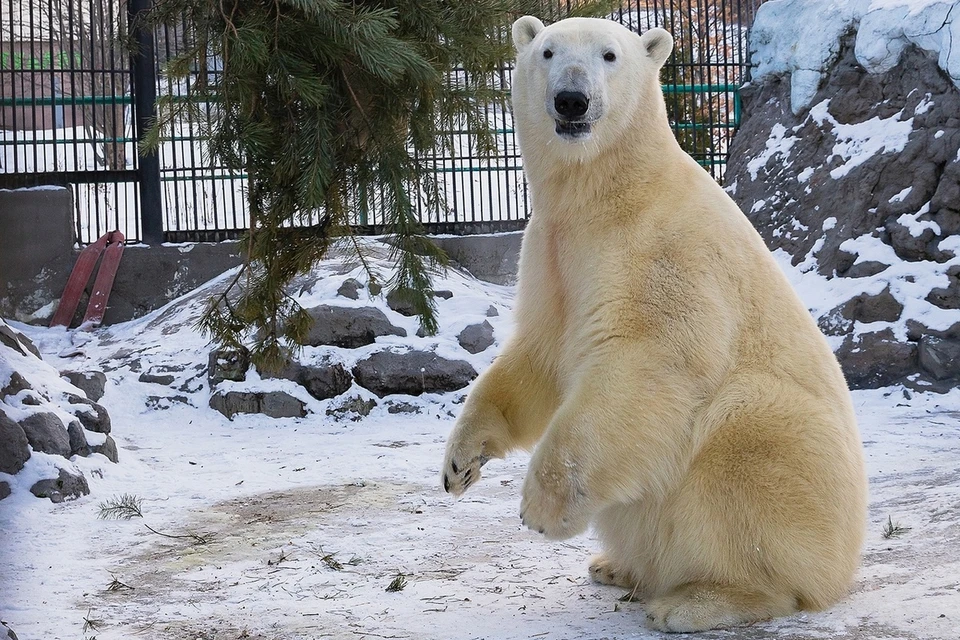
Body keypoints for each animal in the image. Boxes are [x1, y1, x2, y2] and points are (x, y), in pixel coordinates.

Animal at [442, 15, 872, 636]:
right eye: (547, 52)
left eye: (609, 55)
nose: (571, 100)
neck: (611, 193)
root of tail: (842, 565)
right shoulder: (551, 253)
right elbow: (540, 354)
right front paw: (461, 460)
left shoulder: (664, 254)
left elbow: (648, 360)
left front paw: (540, 509)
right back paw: (615, 566)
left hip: (793, 465)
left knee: (740, 447)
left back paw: (698, 599)